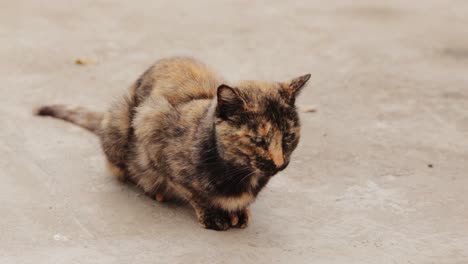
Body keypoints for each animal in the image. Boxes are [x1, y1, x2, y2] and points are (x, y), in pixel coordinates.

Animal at [36, 56, 310, 230]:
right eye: (258, 140)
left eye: (288, 136)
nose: (280, 163)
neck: (240, 175)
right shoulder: (152, 127)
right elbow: (191, 190)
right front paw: (213, 216)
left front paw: (238, 212)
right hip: (121, 120)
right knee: (118, 168)